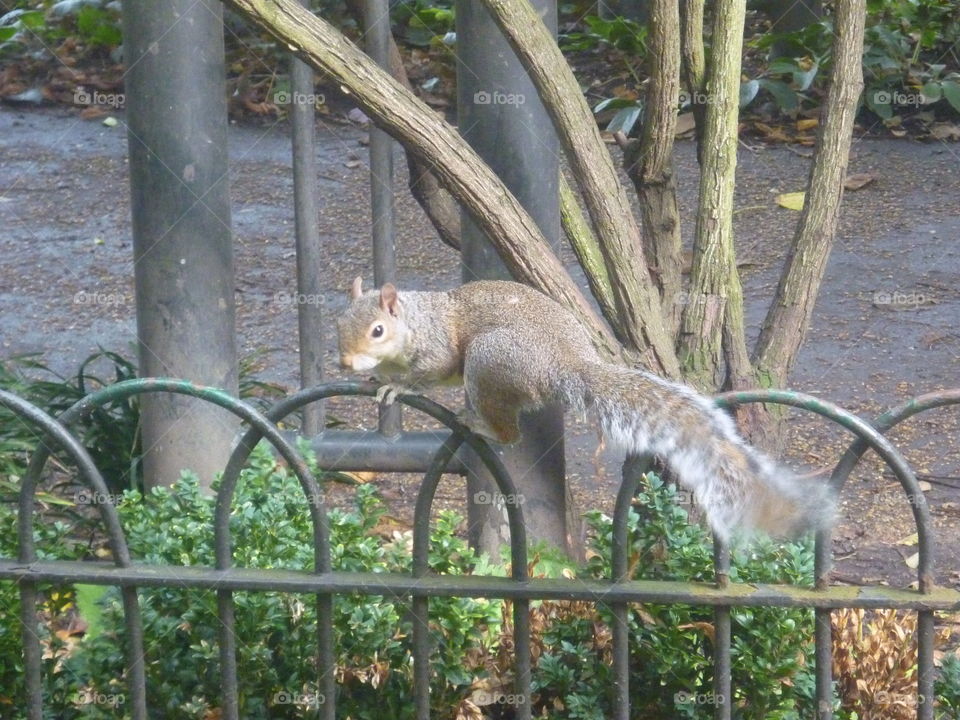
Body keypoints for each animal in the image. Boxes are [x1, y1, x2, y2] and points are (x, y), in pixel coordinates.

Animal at [338, 276, 832, 540]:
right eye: (340, 326)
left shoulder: (439, 348)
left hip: (490, 358)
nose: (345, 361)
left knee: (510, 431)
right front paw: (377, 377)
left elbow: (432, 370)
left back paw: (482, 425)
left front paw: (396, 386)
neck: (413, 323)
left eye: (378, 330)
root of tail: (564, 363)